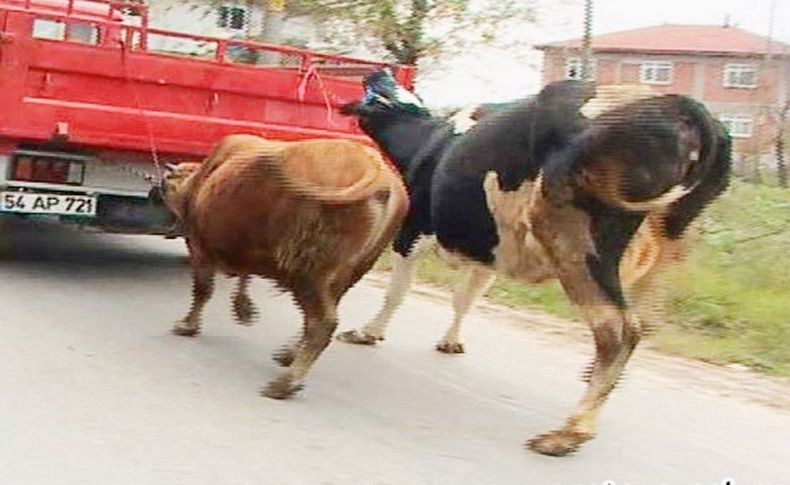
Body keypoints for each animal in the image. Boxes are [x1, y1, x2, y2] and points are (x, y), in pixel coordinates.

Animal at [159, 134, 412, 398]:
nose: (162, 180)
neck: (204, 178)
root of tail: (377, 172)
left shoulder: (199, 248)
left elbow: (203, 290)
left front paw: (187, 325)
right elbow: (242, 280)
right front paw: (243, 309)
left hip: (308, 274)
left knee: (323, 323)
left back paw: (285, 383)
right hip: (345, 275)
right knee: (320, 317)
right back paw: (288, 356)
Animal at [338, 70, 732, 456]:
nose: (376, 74)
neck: (429, 139)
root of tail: (685, 107)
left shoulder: (414, 228)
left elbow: (397, 291)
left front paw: (368, 332)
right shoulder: (488, 249)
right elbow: (465, 298)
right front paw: (451, 341)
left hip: (572, 236)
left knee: (618, 329)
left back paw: (568, 434)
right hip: (669, 249)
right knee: (646, 321)